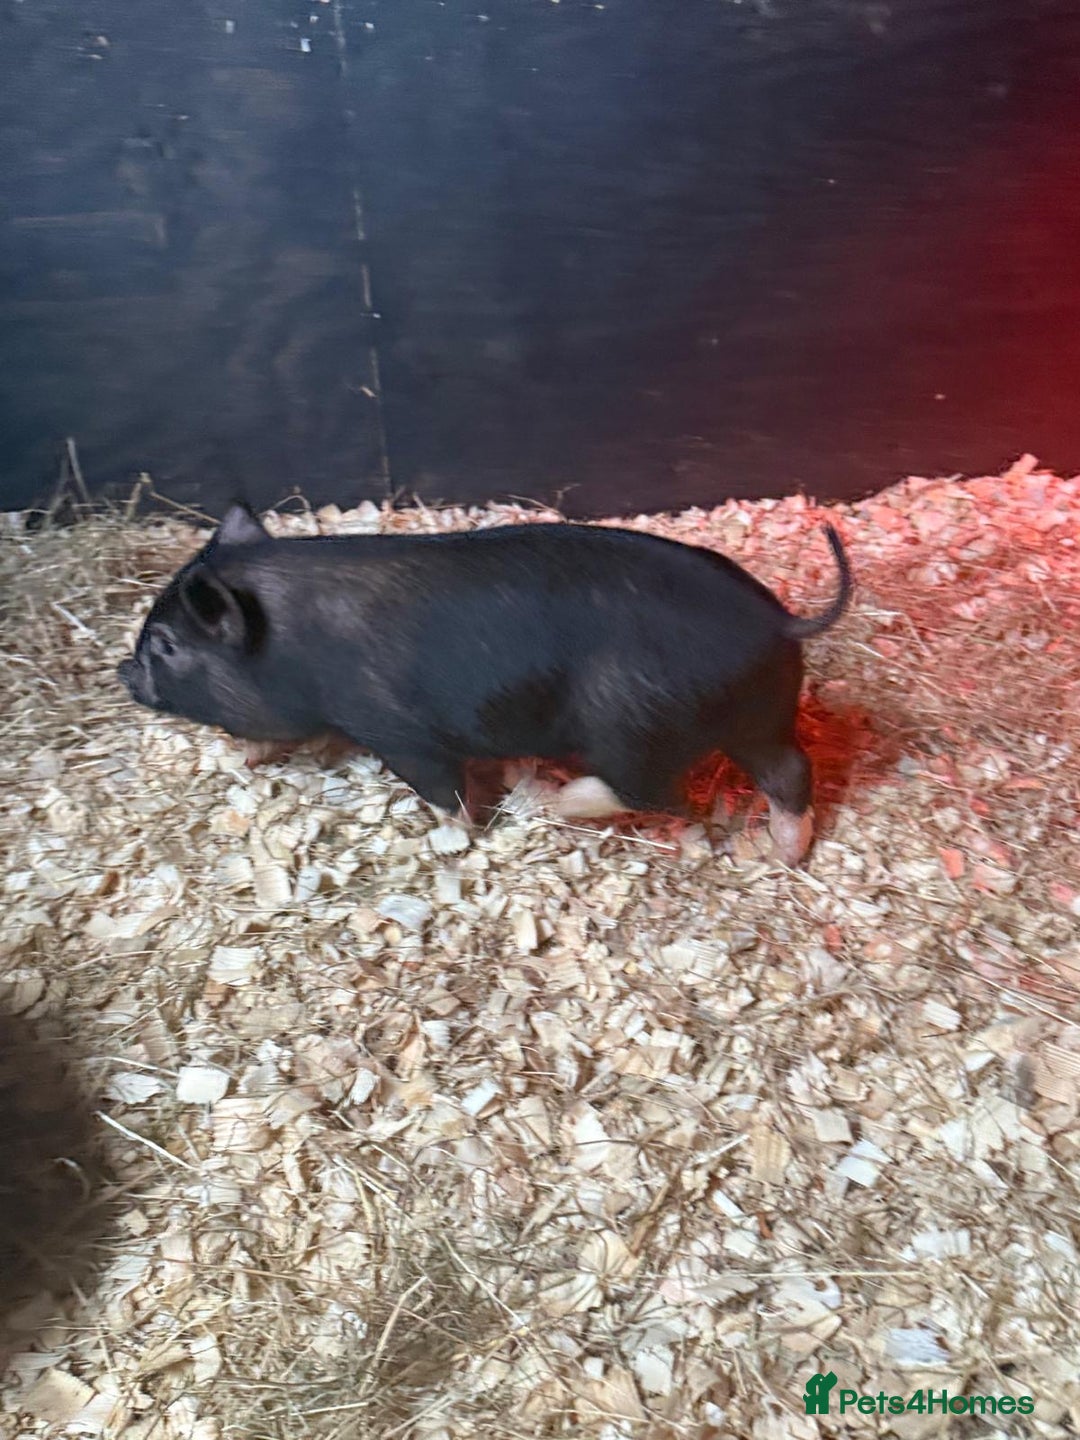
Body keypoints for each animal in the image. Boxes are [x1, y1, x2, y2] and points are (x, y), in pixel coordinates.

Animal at [118, 503, 851, 865]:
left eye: (167, 645)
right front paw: (240, 757)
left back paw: (542, 803)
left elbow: (444, 791)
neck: (294, 641)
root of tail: (777, 622)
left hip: (635, 727)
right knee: (791, 772)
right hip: (761, 714)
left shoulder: (399, 731)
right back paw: (777, 855)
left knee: (658, 794)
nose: (124, 670)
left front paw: (452, 838)